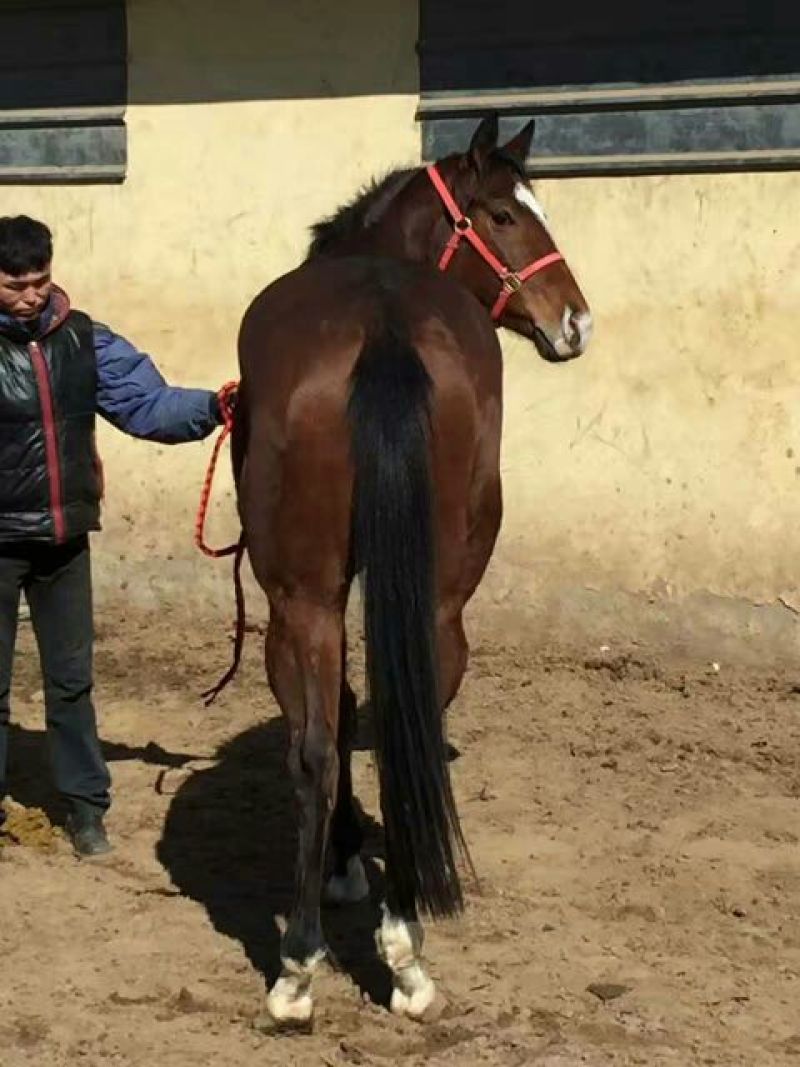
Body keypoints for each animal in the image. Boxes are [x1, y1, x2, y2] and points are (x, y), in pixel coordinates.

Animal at [229, 114, 591, 1029]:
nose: (576, 322)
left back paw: (301, 968)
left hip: (300, 600)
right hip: (429, 603)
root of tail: (382, 324)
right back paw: (398, 955)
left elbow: (334, 722)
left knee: (323, 746)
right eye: (504, 215)